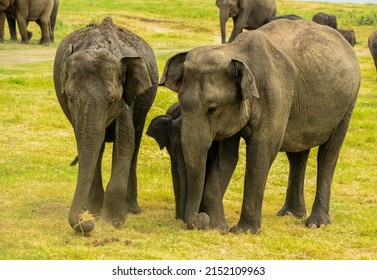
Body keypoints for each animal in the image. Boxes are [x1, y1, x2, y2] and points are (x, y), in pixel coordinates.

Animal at [53, 16, 157, 233]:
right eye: (71, 99)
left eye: (111, 100)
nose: (87, 224)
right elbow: (88, 144)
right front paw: (95, 214)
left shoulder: (126, 99)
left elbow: (125, 141)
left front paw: (112, 222)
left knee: (135, 143)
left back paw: (132, 209)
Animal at [159, 19, 358, 234]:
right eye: (181, 104)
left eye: (213, 108)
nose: (200, 218)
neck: (234, 52)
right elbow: (227, 157)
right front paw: (217, 226)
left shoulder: (276, 95)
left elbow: (263, 150)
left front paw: (243, 231)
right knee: (297, 154)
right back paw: (291, 213)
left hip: (348, 104)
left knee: (328, 154)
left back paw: (316, 222)